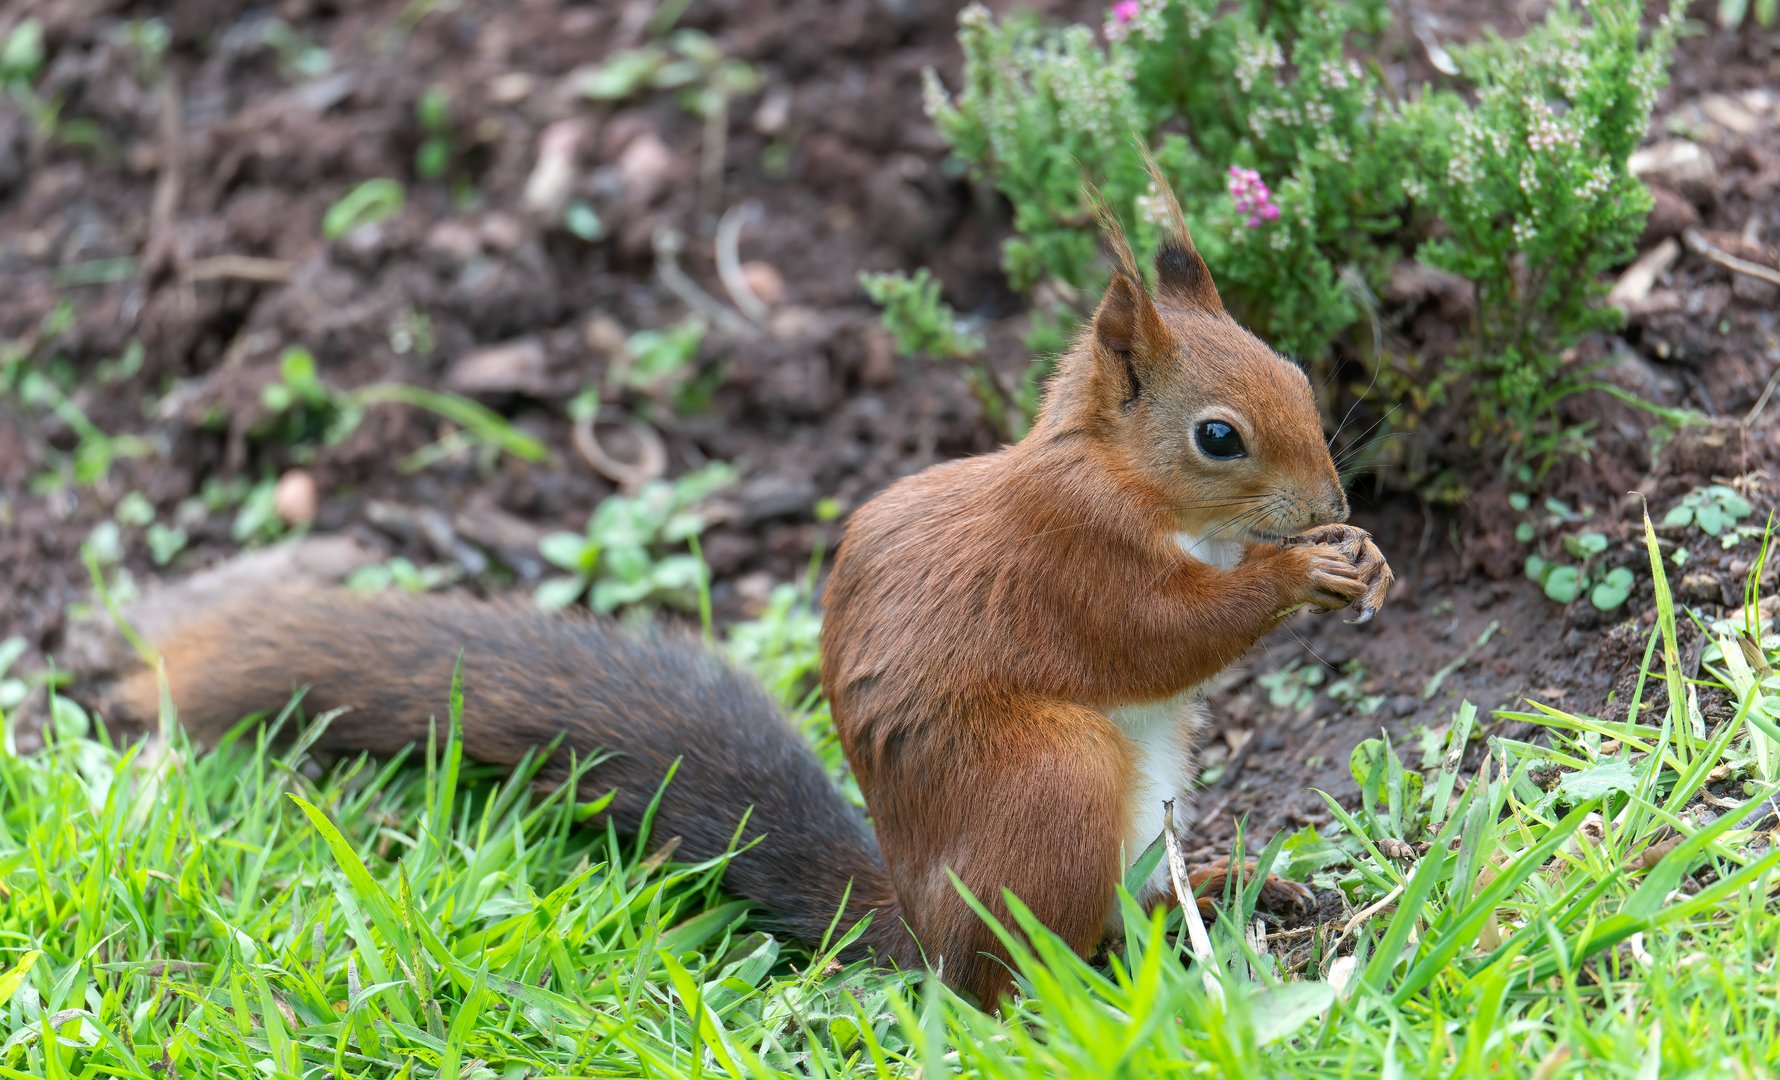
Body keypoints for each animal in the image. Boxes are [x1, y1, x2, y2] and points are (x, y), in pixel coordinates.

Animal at [89, 157, 1391, 1007]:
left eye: (1294, 371)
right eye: (1218, 436)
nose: (1330, 499)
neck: (1123, 478)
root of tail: (919, 932)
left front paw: (1358, 555)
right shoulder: (1067, 558)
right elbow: (1159, 636)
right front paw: (1297, 573)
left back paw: (1218, 890)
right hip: (1048, 778)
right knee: (1029, 969)